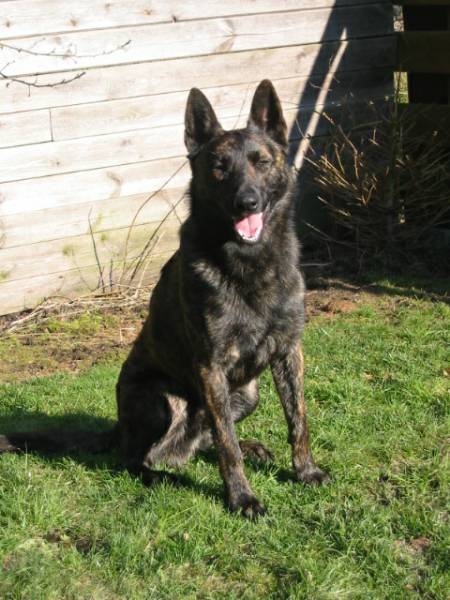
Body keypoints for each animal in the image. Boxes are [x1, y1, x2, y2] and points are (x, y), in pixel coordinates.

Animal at [0, 81, 330, 520]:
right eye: (219, 167)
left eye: (261, 162)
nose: (247, 202)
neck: (250, 264)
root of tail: (119, 426)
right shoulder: (210, 367)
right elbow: (226, 446)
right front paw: (242, 498)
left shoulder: (289, 352)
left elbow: (298, 421)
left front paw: (305, 470)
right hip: (165, 400)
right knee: (136, 457)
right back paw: (161, 477)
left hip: (247, 394)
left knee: (203, 437)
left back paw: (244, 447)